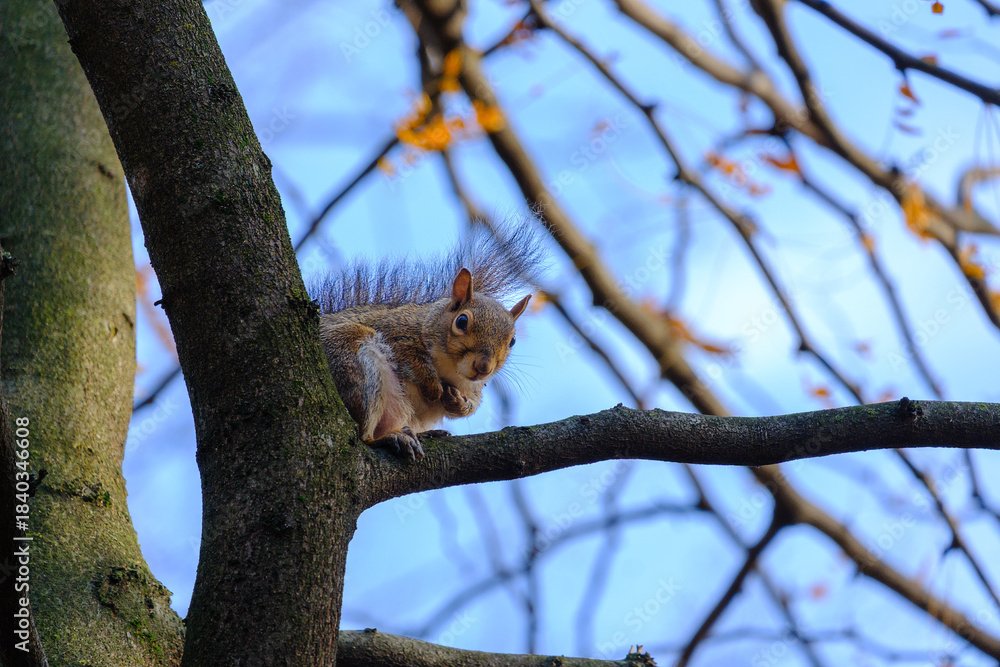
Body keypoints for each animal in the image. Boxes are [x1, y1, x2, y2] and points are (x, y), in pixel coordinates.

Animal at [312, 224, 543, 460]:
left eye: (512, 341)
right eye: (461, 321)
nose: (483, 368)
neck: (451, 370)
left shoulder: (474, 386)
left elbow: (473, 403)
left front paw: (459, 404)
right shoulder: (396, 331)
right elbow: (411, 358)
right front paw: (434, 388)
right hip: (350, 357)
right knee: (363, 435)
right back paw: (388, 438)